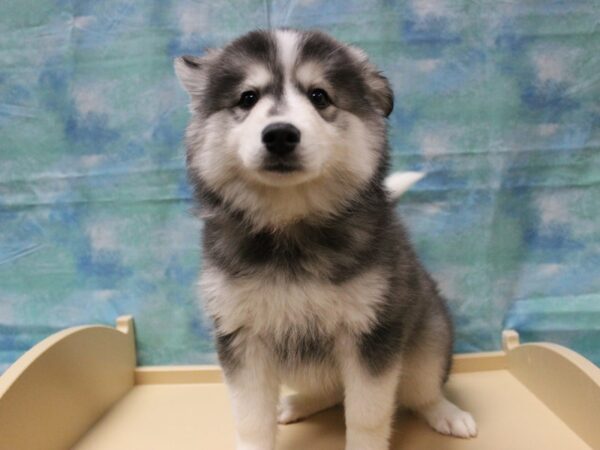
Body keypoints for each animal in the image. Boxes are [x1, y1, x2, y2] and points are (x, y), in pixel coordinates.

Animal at [175, 28, 478, 450]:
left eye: (319, 96)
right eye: (248, 98)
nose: (280, 134)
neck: (290, 229)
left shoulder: (371, 335)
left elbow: (367, 416)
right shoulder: (241, 337)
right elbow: (251, 420)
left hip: (428, 344)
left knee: (422, 392)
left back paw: (448, 414)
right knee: (331, 392)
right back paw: (295, 405)